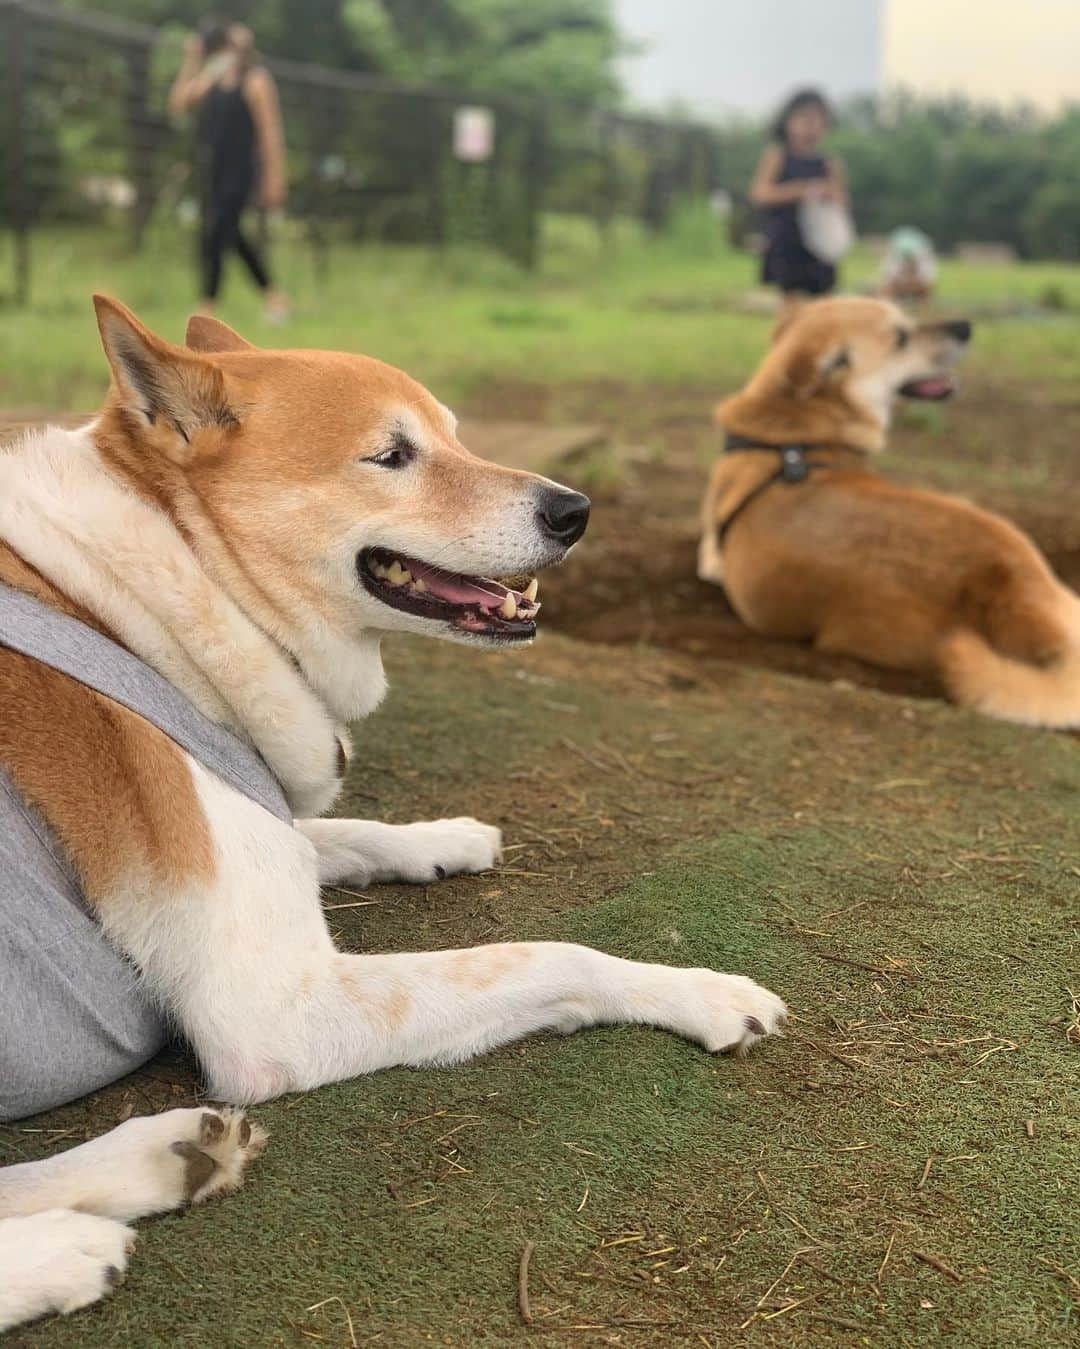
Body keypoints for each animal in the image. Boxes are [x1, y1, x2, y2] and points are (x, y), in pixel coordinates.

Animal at [0, 298, 782, 1327]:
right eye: (391, 455)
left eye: (455, 433)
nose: (575, 510)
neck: (157, 586)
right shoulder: (279, 1008)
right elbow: (552, 956)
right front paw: (703, 992)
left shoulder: (271, 837)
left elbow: (336, 833)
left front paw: (442, 839)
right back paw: (63, 1250)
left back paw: (165, 1161)